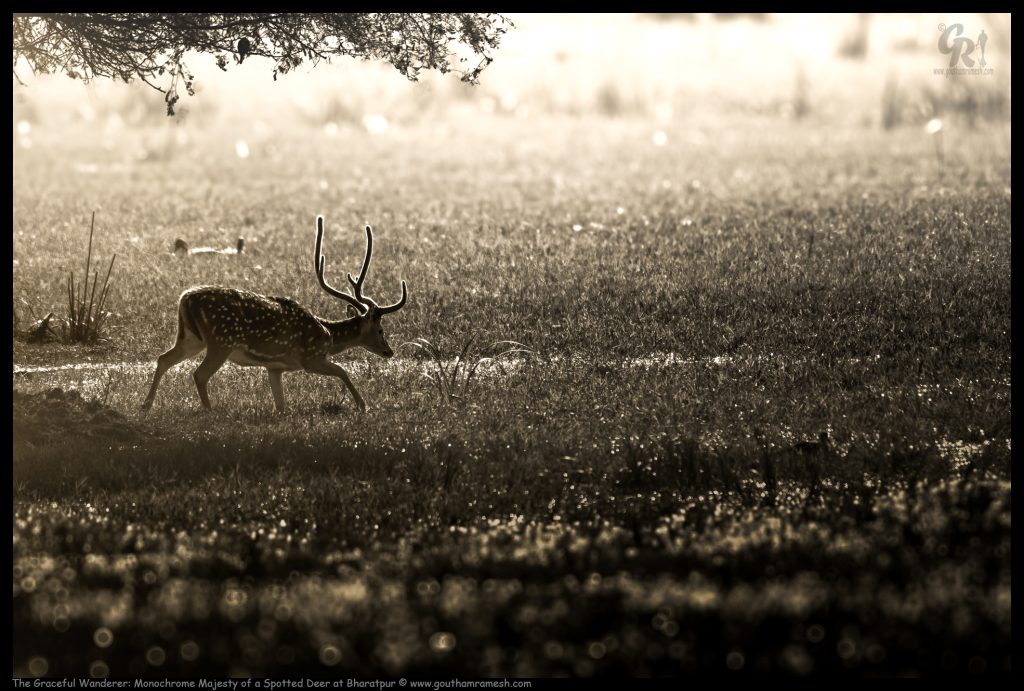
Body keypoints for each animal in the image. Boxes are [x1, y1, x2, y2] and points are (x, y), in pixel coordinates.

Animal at [142, 216, 407, 413]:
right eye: (381, 329)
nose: (389, 351)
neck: (329, 336)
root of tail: (185, 298)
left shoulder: (275, 368)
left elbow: (281, 405)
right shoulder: (310, 358)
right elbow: (343, 371)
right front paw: (363, 405)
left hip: (191, 337)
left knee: (164, 358)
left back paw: (146, 404)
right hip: (221, 340)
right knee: (199, 373)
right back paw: (210, 410)